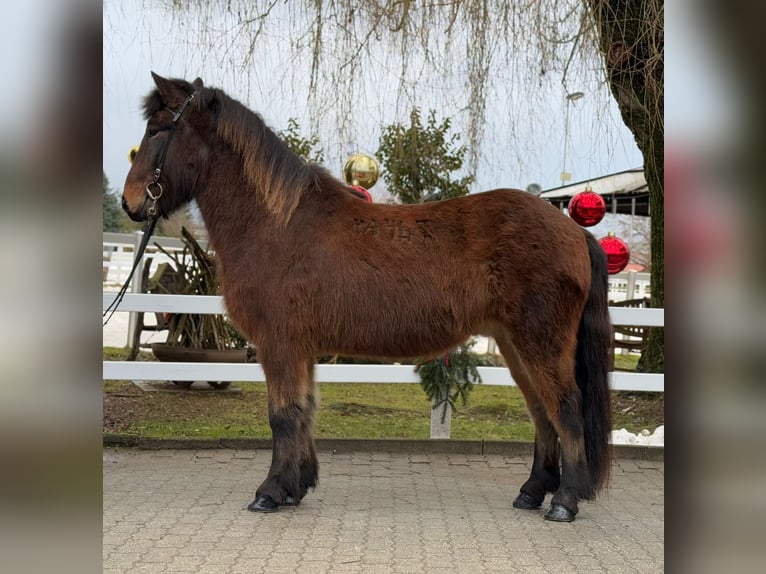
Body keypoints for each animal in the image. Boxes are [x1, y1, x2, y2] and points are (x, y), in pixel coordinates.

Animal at [121, 74, 612, 524]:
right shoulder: (301, 349)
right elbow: (304, 410)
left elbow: (282, 414)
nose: (130, 202)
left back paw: (565, 501)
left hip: (540, 342)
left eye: (157, 130)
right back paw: (532, 492)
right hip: (513, 344)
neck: (277, 224)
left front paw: (270, 491)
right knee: (541, 413)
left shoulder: (279, 343)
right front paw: (297, 486)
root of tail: (574, 230)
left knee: (565, 409)